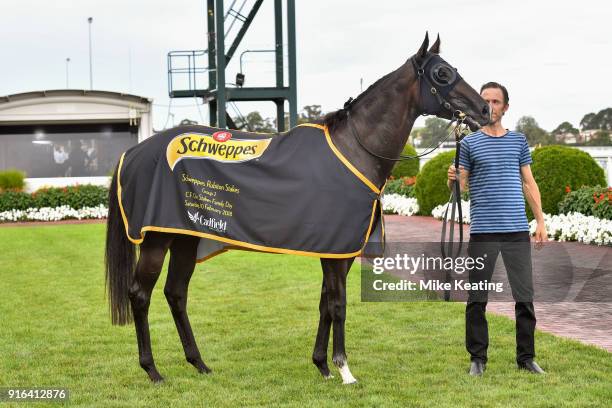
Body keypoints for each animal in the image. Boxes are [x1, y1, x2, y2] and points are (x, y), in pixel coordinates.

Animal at [104, 33, 488, 384]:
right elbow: (338, 305)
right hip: (156, 240)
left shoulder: (338, 249)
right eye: (441, 73)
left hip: (185, 236)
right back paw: (153, 370)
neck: (354, 148)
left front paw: (322, 365)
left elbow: (324, 303)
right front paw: (344, 369)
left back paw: (199, 363)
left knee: (176, 293)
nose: (484, 109)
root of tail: (132, 153)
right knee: (140, 295)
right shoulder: (336, 250)